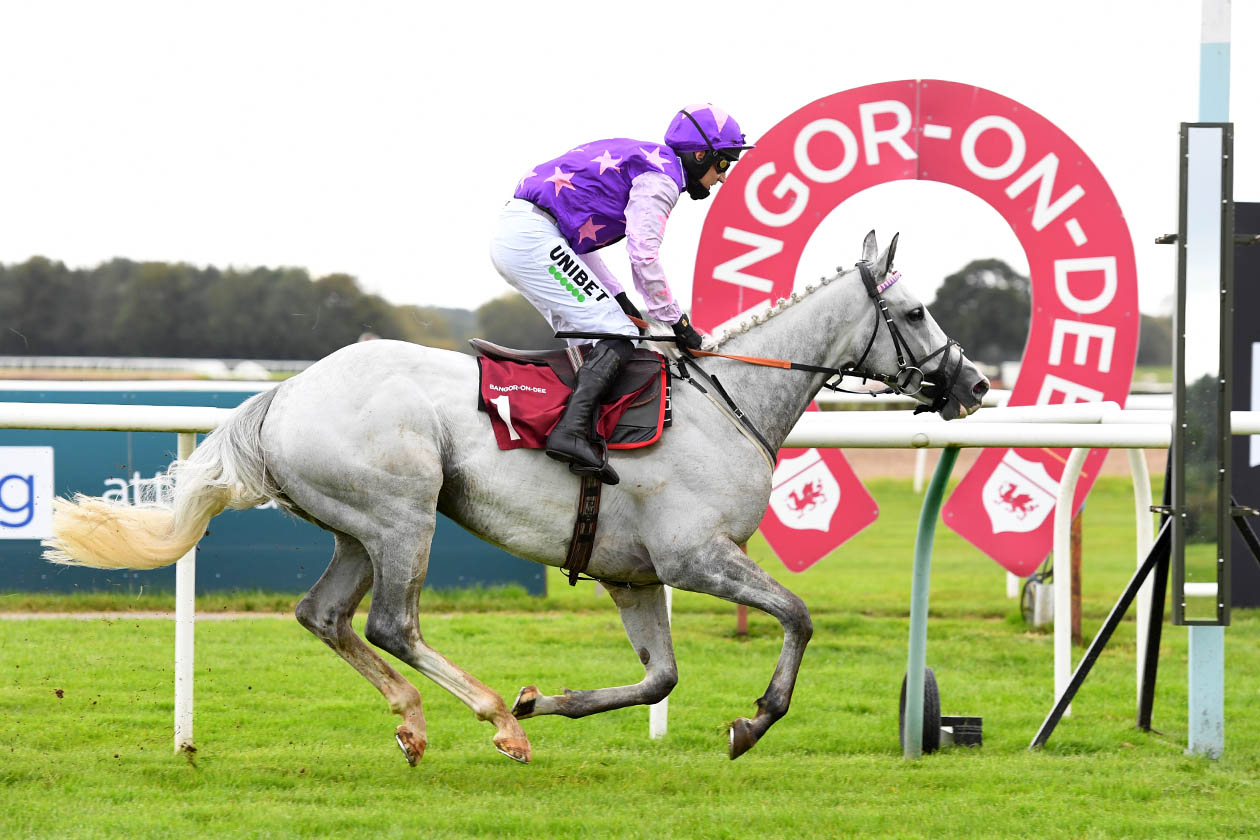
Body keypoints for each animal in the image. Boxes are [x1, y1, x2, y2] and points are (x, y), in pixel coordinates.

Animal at [44, 231, 989, 764]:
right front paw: (752, 722)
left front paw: (554, 699)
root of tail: (283, 392)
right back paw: (497, 720)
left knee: (325, 616)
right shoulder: (695, 557)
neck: (728, 402)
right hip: (404, 513)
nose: (974, 382)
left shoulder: (635, 576)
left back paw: (421, 722)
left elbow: (660, 677)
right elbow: (796, 616)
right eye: (914, 310)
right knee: (391, 624)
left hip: (358, 529)